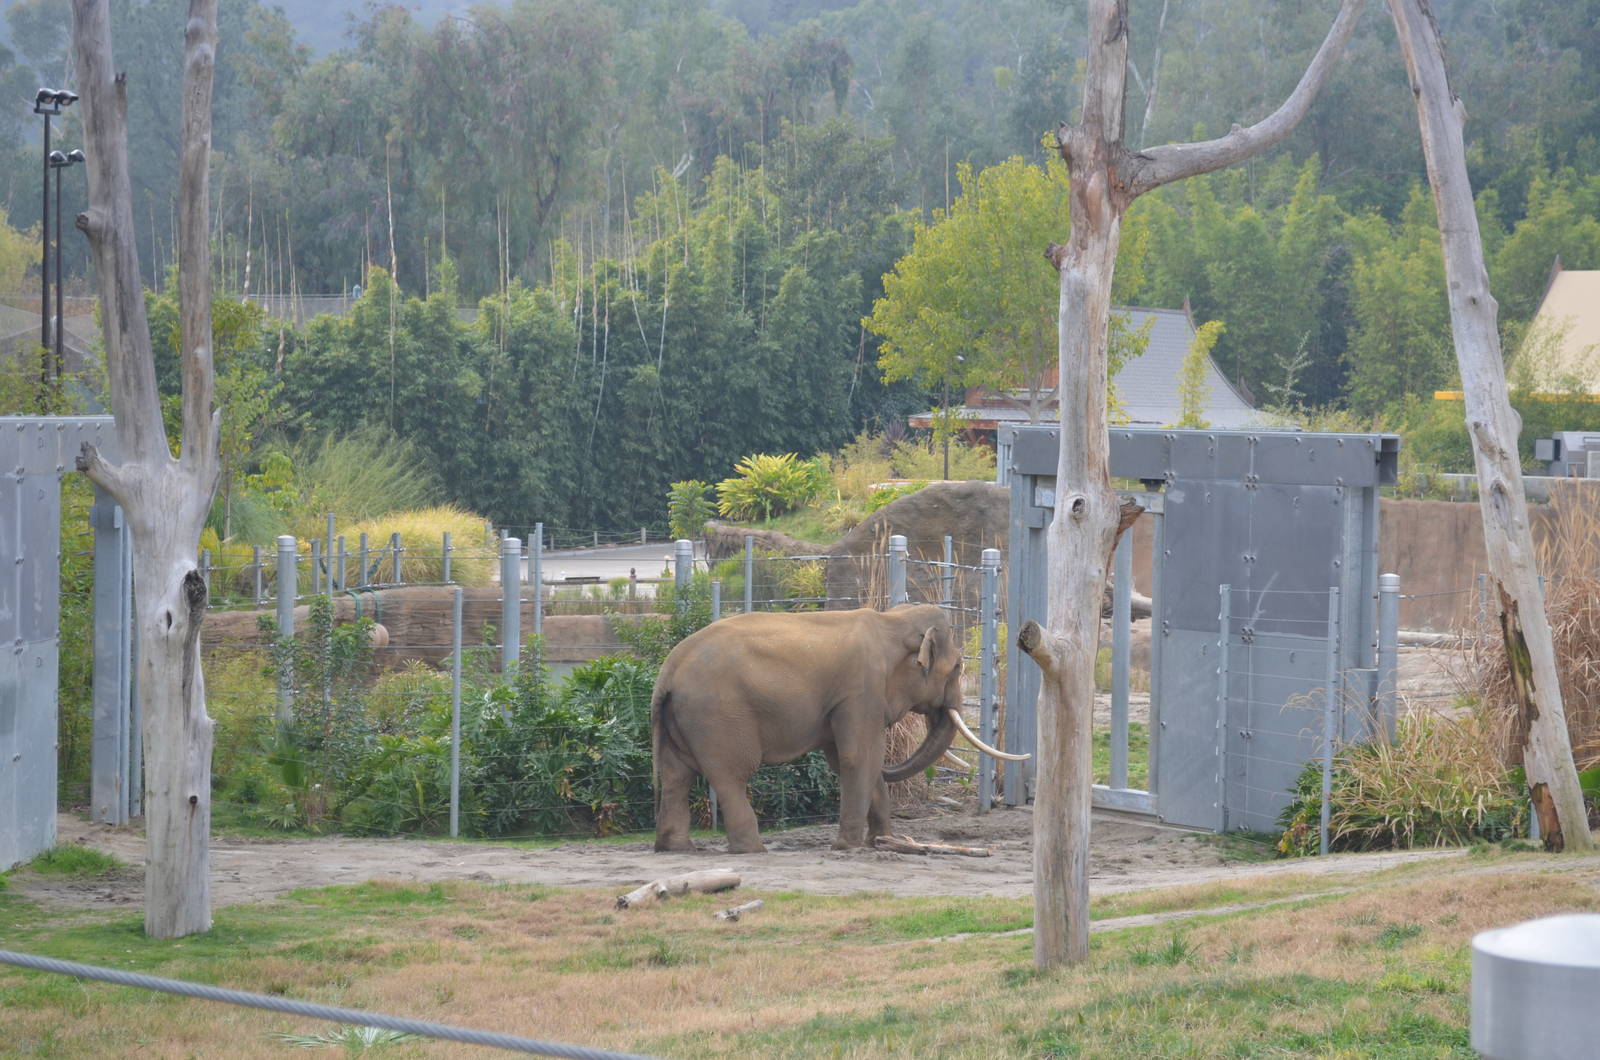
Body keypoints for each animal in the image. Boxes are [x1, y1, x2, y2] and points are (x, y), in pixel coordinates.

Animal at [650, 603, 1026, 853]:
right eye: (960, 665)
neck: (892, 620)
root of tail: (668, 671)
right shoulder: (862, 689)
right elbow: (858, 757)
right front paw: (848, 847)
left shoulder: (850, 700)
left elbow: (859, 759)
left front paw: (883, 842)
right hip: (717, 717)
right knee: (730, 775)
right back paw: (752, 850)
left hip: (679, 719)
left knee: (675, 776)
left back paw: (675, 848)